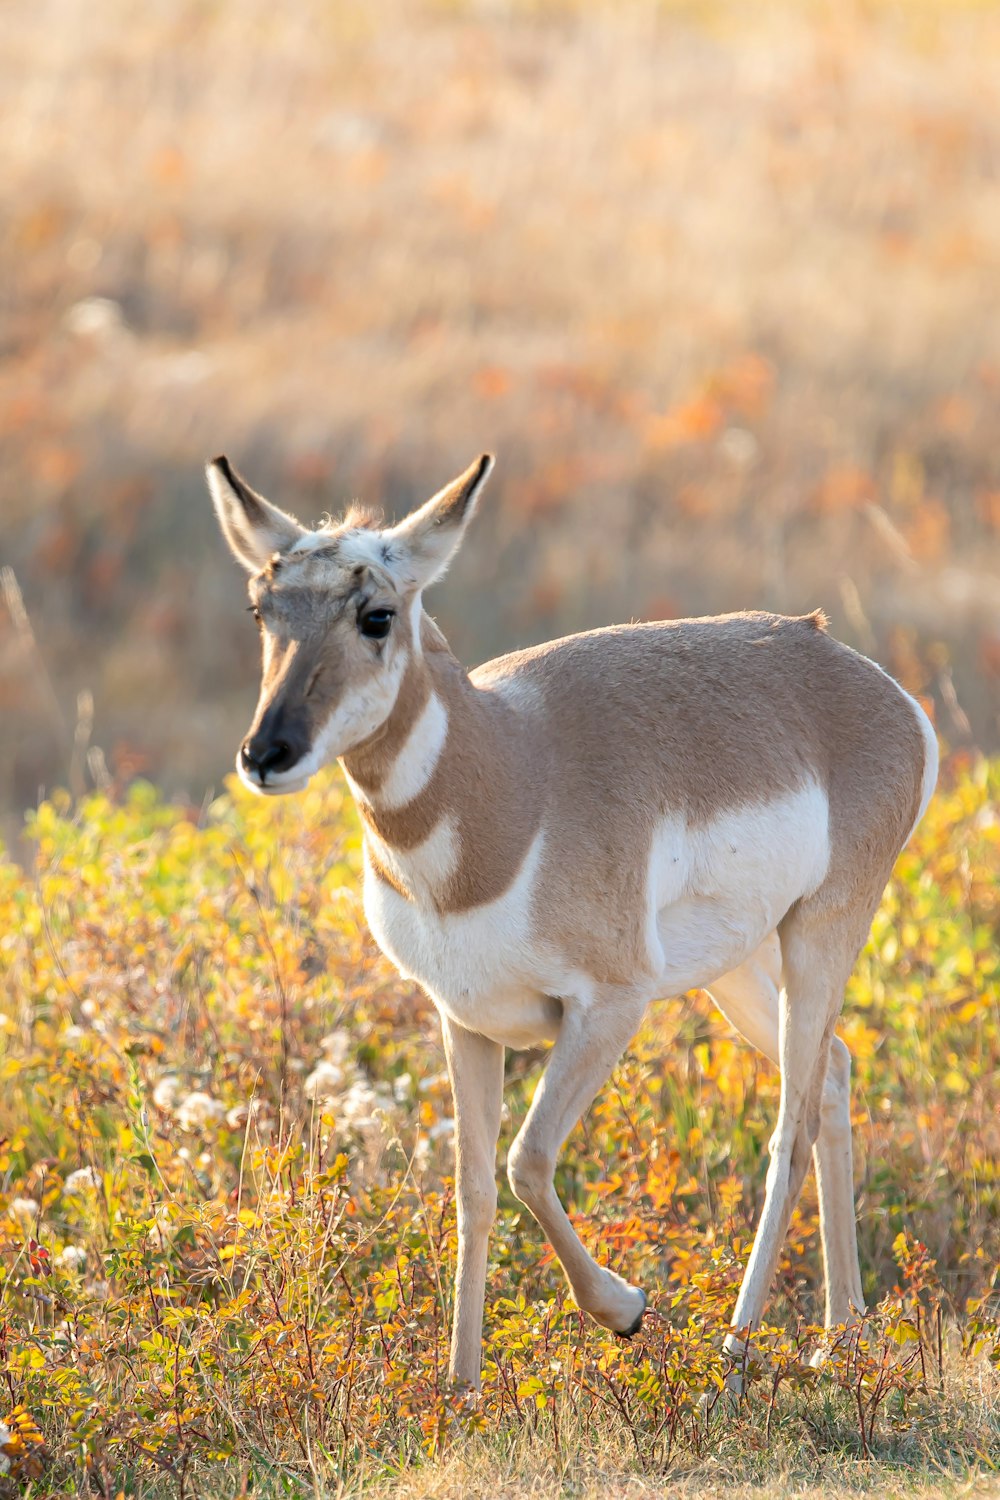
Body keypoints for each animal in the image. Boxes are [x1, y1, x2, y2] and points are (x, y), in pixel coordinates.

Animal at [209, 450, 941, 1386]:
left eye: (377, 615)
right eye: (262, 609)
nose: (267, 754)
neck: (512, 775)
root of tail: (865, 679)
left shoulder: (606, 1009)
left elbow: (526, 1161)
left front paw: (624, 1310)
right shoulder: (464, 1022)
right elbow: (474, 1188)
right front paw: (460, 1389)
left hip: (820, 933)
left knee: (792, 1121)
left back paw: (734, 1363)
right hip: (738, 969)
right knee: (837, 1070)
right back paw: (837, 1337)